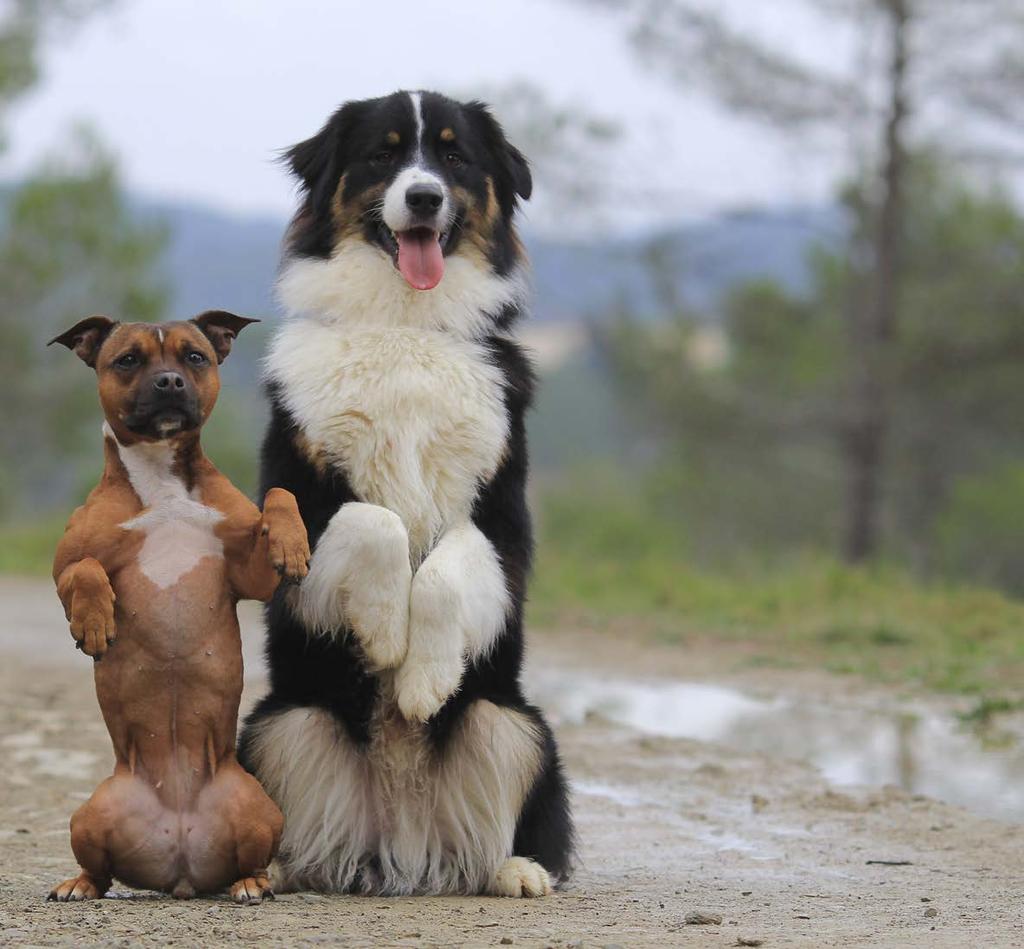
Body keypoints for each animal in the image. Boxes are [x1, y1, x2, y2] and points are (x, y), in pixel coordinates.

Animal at [47, 313, 311, 904]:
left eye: (194, 356)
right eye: (127, 360)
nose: (169, 381)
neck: (161, 479)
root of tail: (182, 866)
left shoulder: (248, 572)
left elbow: (280, 495)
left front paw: (292, 544)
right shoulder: (65, 565)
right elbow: (86, 570)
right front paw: (94, 622)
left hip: (260, 808)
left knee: (254, 860)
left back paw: (252, 885)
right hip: (88, 815)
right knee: (100, 870)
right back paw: (77, 884)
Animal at [238, 91, 577, 896]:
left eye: (454, 156)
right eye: (384, 153)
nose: (423, 197)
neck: (405, 324)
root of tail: (402, 842)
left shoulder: (502, 523)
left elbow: (450, 564)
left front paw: (421, 680)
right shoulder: (294, 507)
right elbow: (377, 522)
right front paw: (387, 634)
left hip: (515, 720)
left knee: (503, 832)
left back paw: (516, 870)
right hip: (277, 722)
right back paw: (267, 869)